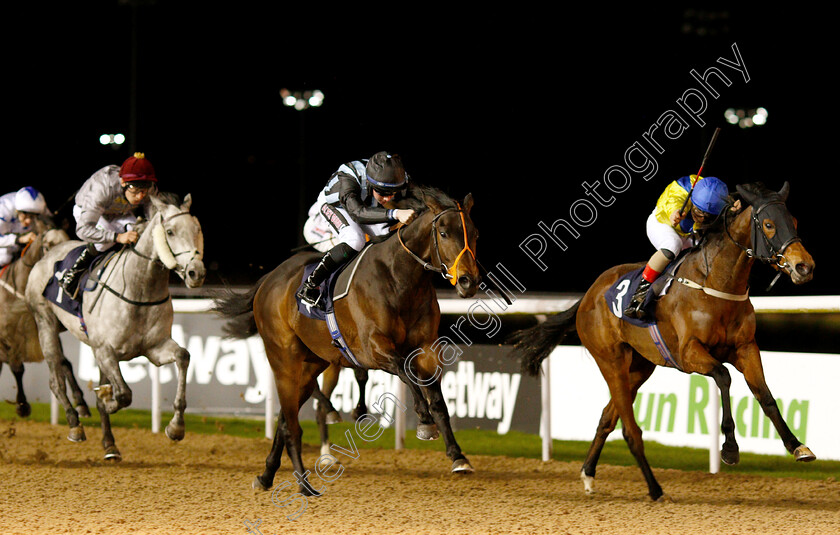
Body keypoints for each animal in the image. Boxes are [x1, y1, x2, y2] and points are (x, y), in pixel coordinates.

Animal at [0, 224, 86, 416]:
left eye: (66, 240)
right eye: (47, 246)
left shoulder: (45, 327)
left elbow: (64, 363)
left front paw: (80, 402)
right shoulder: (7, 337)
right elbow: (17, 368)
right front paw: (22, 405)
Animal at [25, 194, 206, 460]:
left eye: (197, 229)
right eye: (170, 231)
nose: (196, 272)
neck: (139, 288)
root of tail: (47, 255)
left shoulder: (155, 348)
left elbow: (183, 356)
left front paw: (176, 427)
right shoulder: (105, 350)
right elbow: (122, 394)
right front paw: (105, 400)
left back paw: (109, 444)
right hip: (45, 323)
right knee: (55, 380)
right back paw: (75, 423)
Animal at [213, 186, 480, 496]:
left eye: (475, 233)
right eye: (444, 232)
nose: (469, 281)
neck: (400, 278)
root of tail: (269, 279)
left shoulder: (426, 348)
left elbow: (437, 399)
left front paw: (458, 456)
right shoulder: (373, 349)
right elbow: (405, 371)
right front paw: (423, 422)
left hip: (312, 364)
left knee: (286, 416)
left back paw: (267, 475)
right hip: (284, 359)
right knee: (291, 419)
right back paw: (301, 479)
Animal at [506, 183, 812, 502]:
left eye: (794, 222)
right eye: (769, 225)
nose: (804, 266)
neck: (716, 282)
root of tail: (588, 295)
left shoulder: (746, 348)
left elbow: (765, 395)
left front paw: (797, 446)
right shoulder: (689, 353)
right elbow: (723, 376)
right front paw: (729, 448)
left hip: (639, 367)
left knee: (607, 417)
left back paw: (589, 473)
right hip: (610, 360)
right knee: (630, 430)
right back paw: (655, 489)